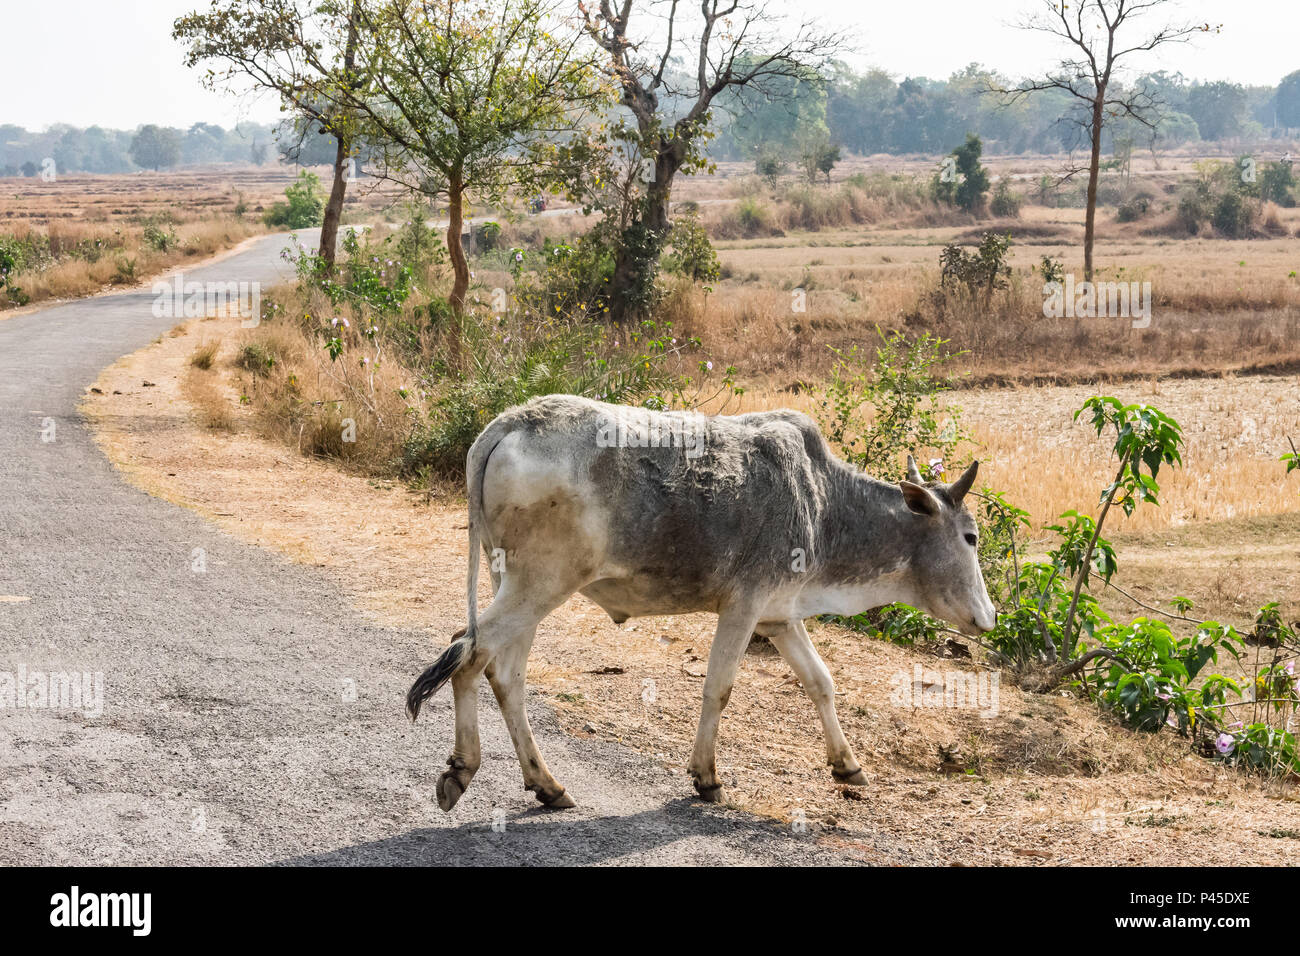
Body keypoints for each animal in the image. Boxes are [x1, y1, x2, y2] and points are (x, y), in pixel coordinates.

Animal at [407, 394, 996, 811]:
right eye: (970, 537)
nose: (989, 617)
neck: (826, 503)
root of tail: (508, 424)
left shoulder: (780, 617)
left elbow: (821, 682)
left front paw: (847, 766)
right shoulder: (744, 606)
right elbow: (719, 688)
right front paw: (707, 778)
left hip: (517, 585)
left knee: (503, 674)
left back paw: (547, 785)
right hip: (539, 585)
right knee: (468, 656)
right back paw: (462, 770)